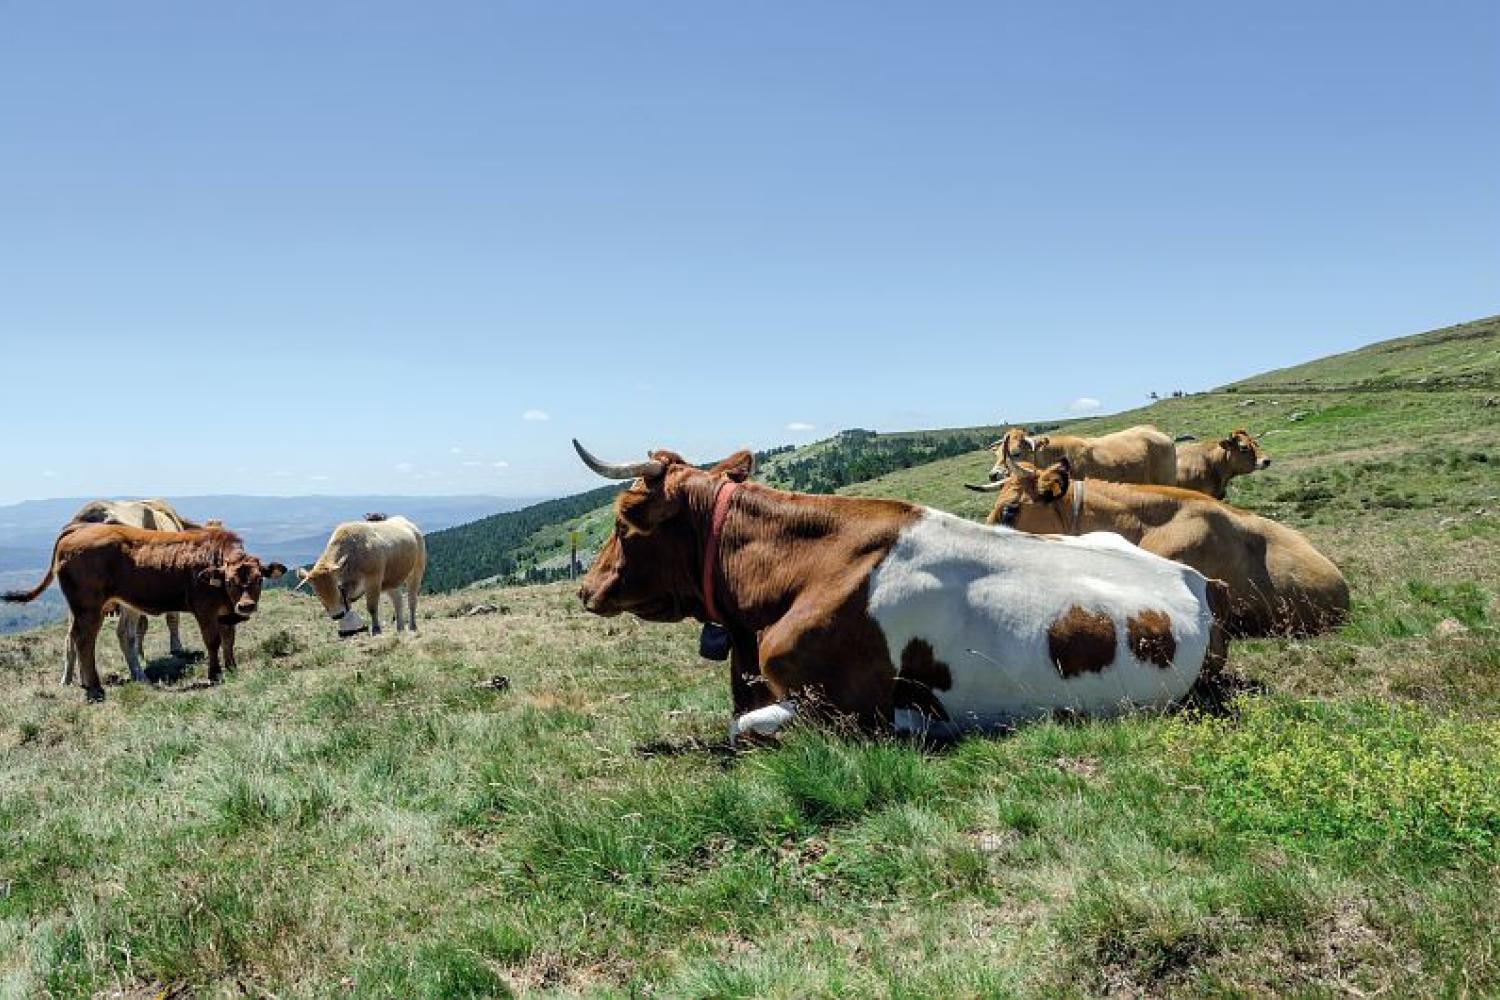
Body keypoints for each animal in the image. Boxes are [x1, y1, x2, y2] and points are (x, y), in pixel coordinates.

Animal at [1, 524, 283, 704]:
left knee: (79, 638)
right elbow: (213, 642)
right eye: (231, 581)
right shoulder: (204, 609)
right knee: (84, 640)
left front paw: (232, 667)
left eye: (259, 579)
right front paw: (215, 674)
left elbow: (229, 640)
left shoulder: (225, 612)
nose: (246, 606)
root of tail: (78, 529)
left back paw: (88, 684)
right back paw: (95, 689)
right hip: (88, 607)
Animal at [294, 512, 426, 638]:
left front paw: (376, 630)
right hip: (391, 580)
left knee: (412, 600)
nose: (337, 615)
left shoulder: (373, 582)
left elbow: (372, 607)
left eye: (336, 586)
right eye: (316, 592)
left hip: (416, 572)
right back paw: (400, 629)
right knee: (398, 600)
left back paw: (412, 626)